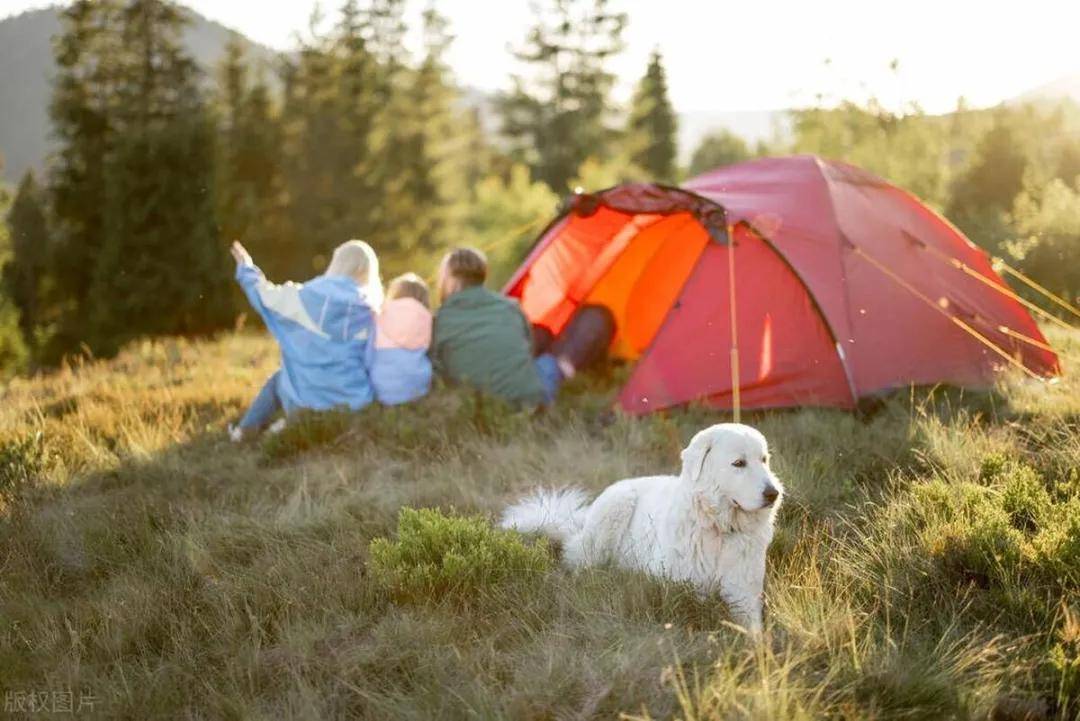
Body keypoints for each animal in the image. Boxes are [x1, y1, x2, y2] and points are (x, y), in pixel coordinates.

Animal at [501, 423, 781, 630]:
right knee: (579, 562)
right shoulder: (684, 588)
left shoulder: (744, 595)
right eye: (739, 463)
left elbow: (754, 632)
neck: (717, 529)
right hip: (613, 513)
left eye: (764, 460)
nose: (773, 494)